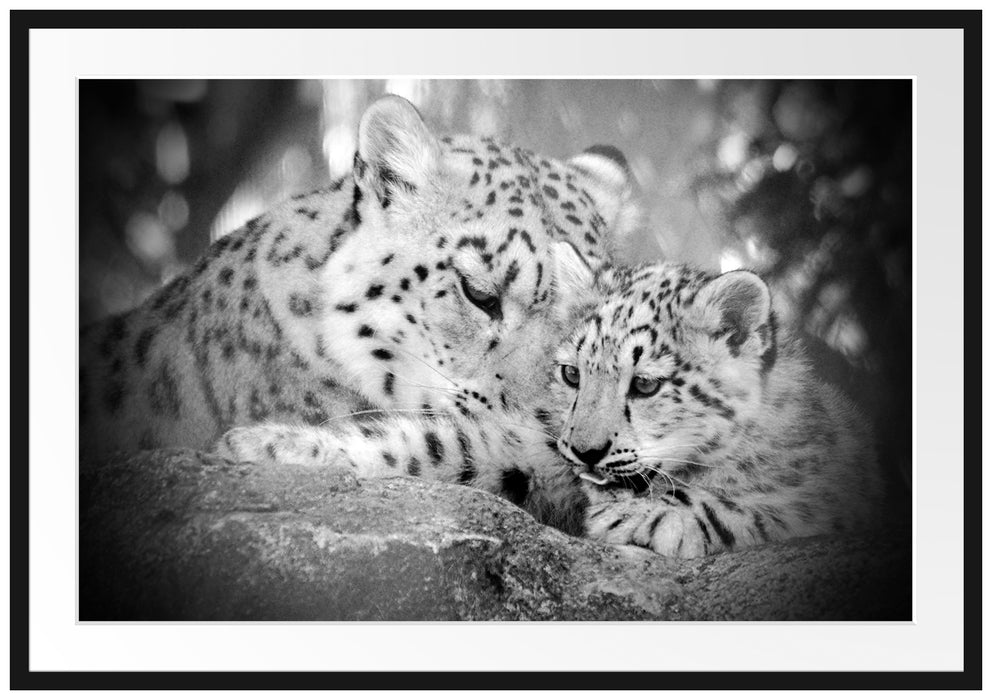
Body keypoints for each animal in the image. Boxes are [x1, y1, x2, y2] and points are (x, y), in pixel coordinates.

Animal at [217, 258, 886, 556]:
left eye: (645, 385)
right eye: (571, 373)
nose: (585, 450)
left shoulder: (845, 490)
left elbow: (777, 509)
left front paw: (649, 517)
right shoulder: (529, 451)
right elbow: (432, 446)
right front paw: (272, 446)